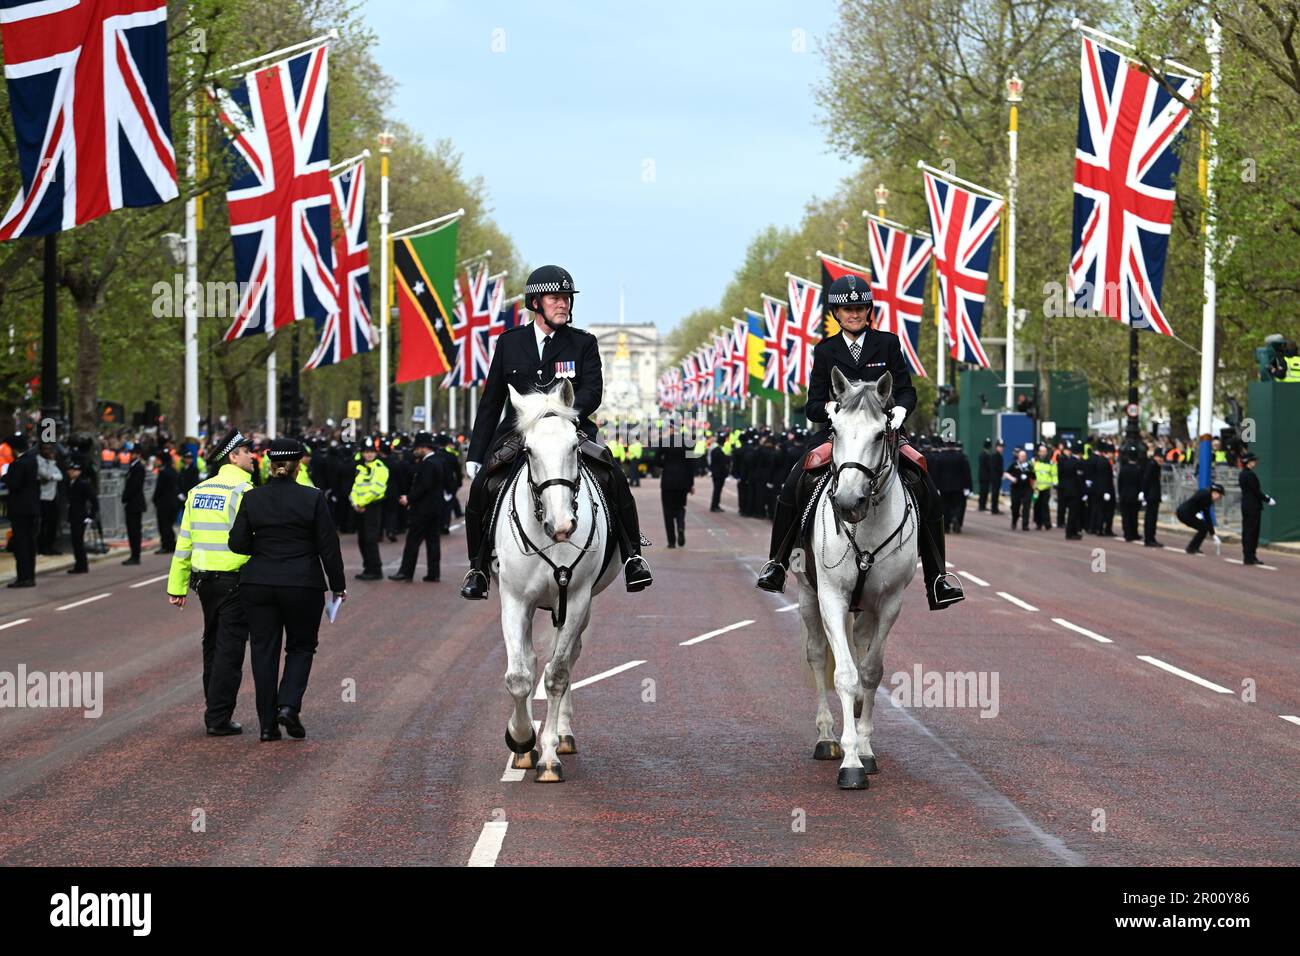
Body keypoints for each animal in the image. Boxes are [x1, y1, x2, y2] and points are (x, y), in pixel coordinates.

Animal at [493, 382, 621, 785]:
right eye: (529, 450)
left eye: (574, 447)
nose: (562, 525)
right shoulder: (514, 599)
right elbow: (520, 675)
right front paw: (521, 740)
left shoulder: (577, 599)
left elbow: (557, 676)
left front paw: (548, 755)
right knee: (534, 659)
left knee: (566, 657)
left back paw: (563, 734)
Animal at [790, 369, 925, 790]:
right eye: (834, 428)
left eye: (881, 433)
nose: (848, 503)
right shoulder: (831, 596)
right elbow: (846, 674)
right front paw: (849, 761)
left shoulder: (890, 602)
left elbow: (871, 671)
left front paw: (864, 749)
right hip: (807, 594)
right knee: (818, 655)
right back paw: (826, 737)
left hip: (865, 607)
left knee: (861, 648)